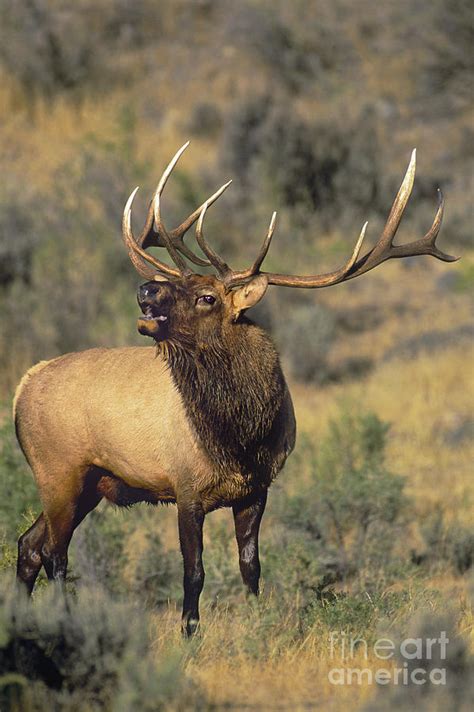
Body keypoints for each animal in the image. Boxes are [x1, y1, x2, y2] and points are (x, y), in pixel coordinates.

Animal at [14, 143, 458, 636]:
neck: (240, 438)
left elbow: (251, 567)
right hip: (58, 470)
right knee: (54, 553)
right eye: (176, 283)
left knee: (29, 545)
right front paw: (189, 633)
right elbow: (194, 572)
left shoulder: (256, 489)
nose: (145, 289)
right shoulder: (185, 488)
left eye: (206, 296)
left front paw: (258, 623)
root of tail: (21, 387)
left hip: (88, 482)